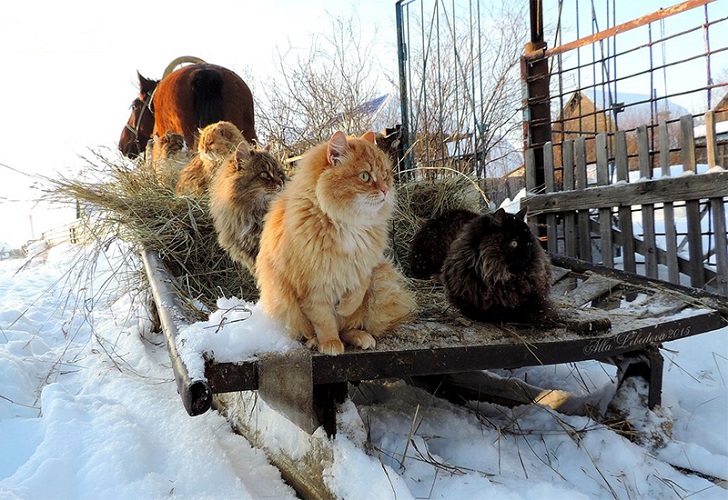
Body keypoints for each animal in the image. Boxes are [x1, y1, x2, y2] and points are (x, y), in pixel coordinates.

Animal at [256, 131, 416, 354]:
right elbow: (324, 321)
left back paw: (361, 337)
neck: (348, 222)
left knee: (349, 327)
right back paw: (317, 341)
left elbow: (356, 295)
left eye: (385, 175)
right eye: (365, 176)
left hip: (381, 283)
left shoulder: (366, 267)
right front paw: (330, 343)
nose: (385, 190)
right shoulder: (313, 287)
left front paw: (344, 308)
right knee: (315, 331)